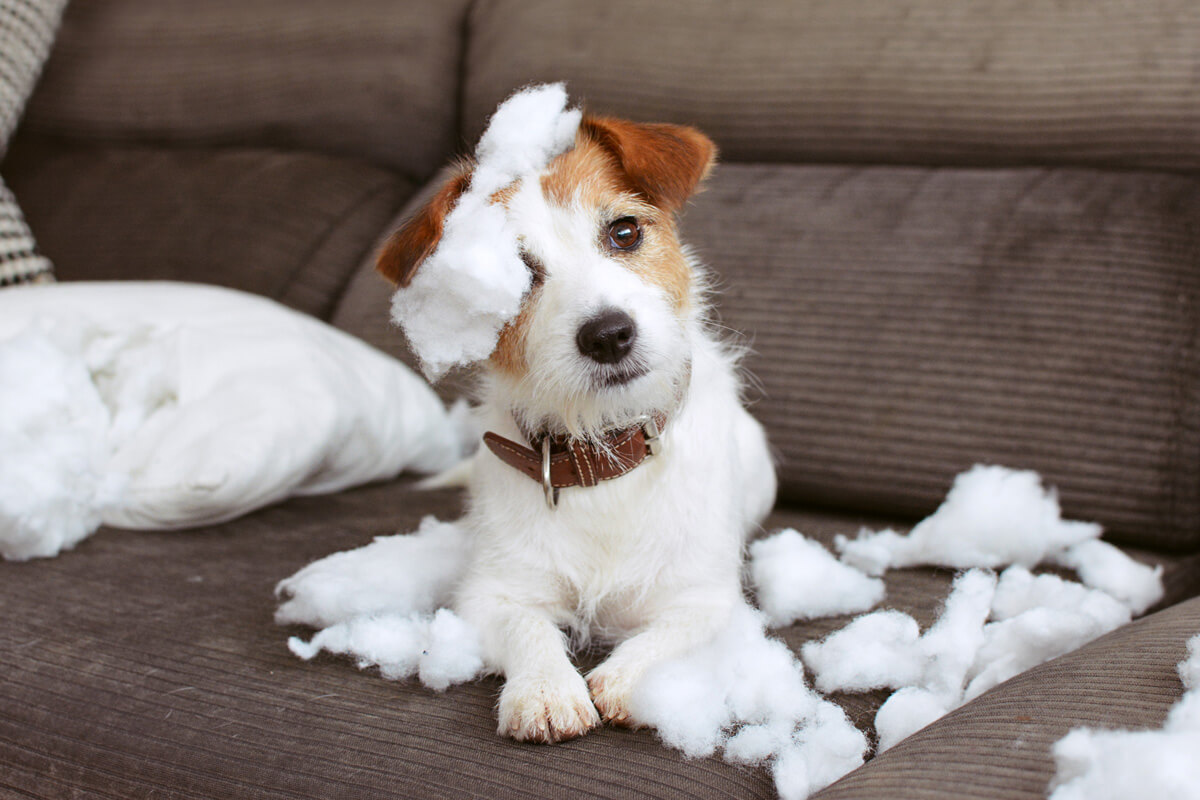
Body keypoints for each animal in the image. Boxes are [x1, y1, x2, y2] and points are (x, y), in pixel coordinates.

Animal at [372, 109, 777, 743]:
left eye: (625, 233)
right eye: (515, 275)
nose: (609, 335)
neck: (602, 451)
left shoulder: (704, 599)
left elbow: (668, 635)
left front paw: (625, 679)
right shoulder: (494, 593)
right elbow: (528, 629)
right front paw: (545, 690)